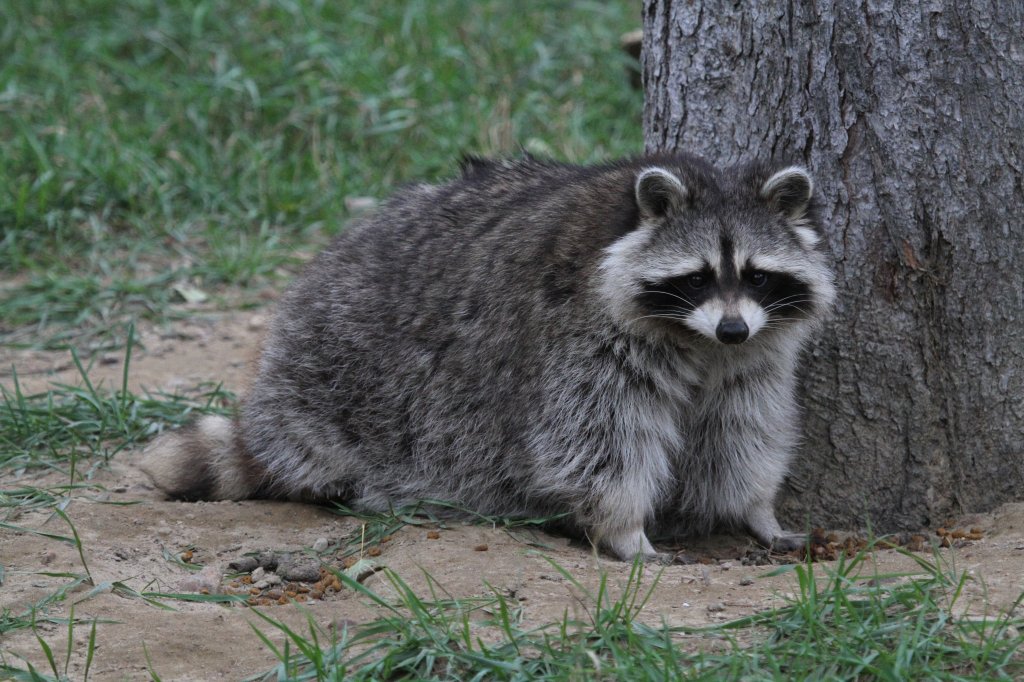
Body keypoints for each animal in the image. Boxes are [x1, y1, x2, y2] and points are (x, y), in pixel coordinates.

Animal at [142, 155, 831, 561]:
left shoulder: (754, 354)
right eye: (696, 277)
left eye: (757, 275)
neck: (696, 339)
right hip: (339, 370)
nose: (733, 328)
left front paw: (755, 509)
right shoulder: (580, 340)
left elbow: (741, 428)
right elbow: (596, 444)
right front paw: (624, 528)